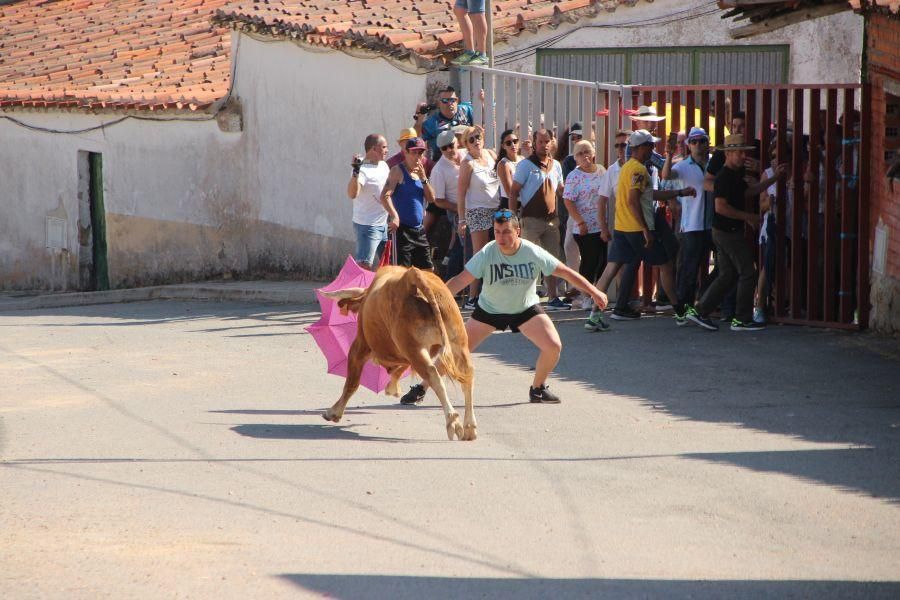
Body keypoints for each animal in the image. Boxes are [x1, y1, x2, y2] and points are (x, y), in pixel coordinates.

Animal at [324, 268, 478, 440]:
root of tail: (412, 276)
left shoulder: (360, 346)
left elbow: (352, 383)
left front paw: (334, 412)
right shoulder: (403, 354)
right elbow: (400, 369)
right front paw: (392, 387)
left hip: (413, 348)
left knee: (433, 374)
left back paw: (453, 422)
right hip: (458, 344)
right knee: (467, 374)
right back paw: (470, 427)